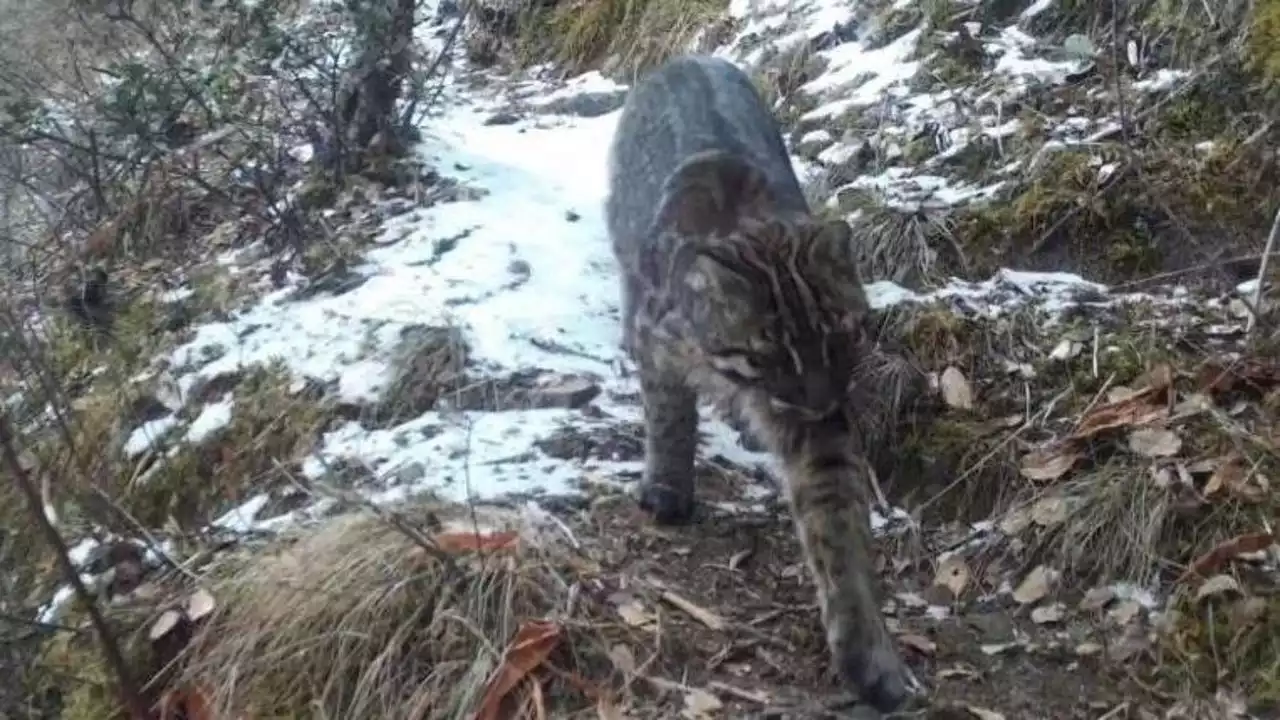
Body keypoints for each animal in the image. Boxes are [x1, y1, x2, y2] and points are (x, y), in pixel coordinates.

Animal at [601, 53, 916, 707]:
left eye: (840, 337)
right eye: (771, 353)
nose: (819, 399)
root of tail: (686, 56)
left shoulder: (820, 427)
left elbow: (836, 521)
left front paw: (867, 650)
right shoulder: (660, 344)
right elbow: (669, 417)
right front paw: (668, 486)